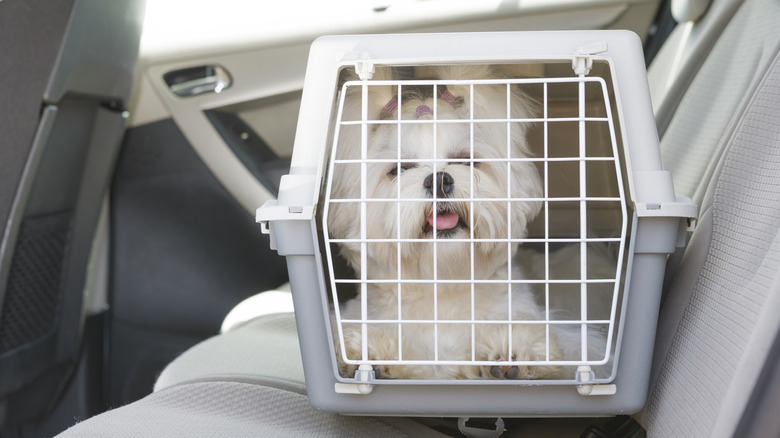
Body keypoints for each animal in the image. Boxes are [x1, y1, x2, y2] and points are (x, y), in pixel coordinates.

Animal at [326, 65, 608, 380]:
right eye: (398, 170)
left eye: (466, 160)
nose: (439, 180)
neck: (445, 284)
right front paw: (371, 352)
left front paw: (512, 349)